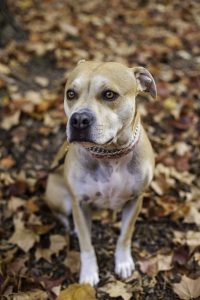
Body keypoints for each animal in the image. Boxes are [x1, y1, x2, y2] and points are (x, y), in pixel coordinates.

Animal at [45, 60, 156, 286]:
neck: (110, 154)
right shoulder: (79, 203)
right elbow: (86, 245)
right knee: (62, 215)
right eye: (71, 94)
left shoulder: (136, 199)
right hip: (61, 198)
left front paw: (123, 262)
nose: (79, 120)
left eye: (109, 95)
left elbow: (125, 235)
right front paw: (88, 274)